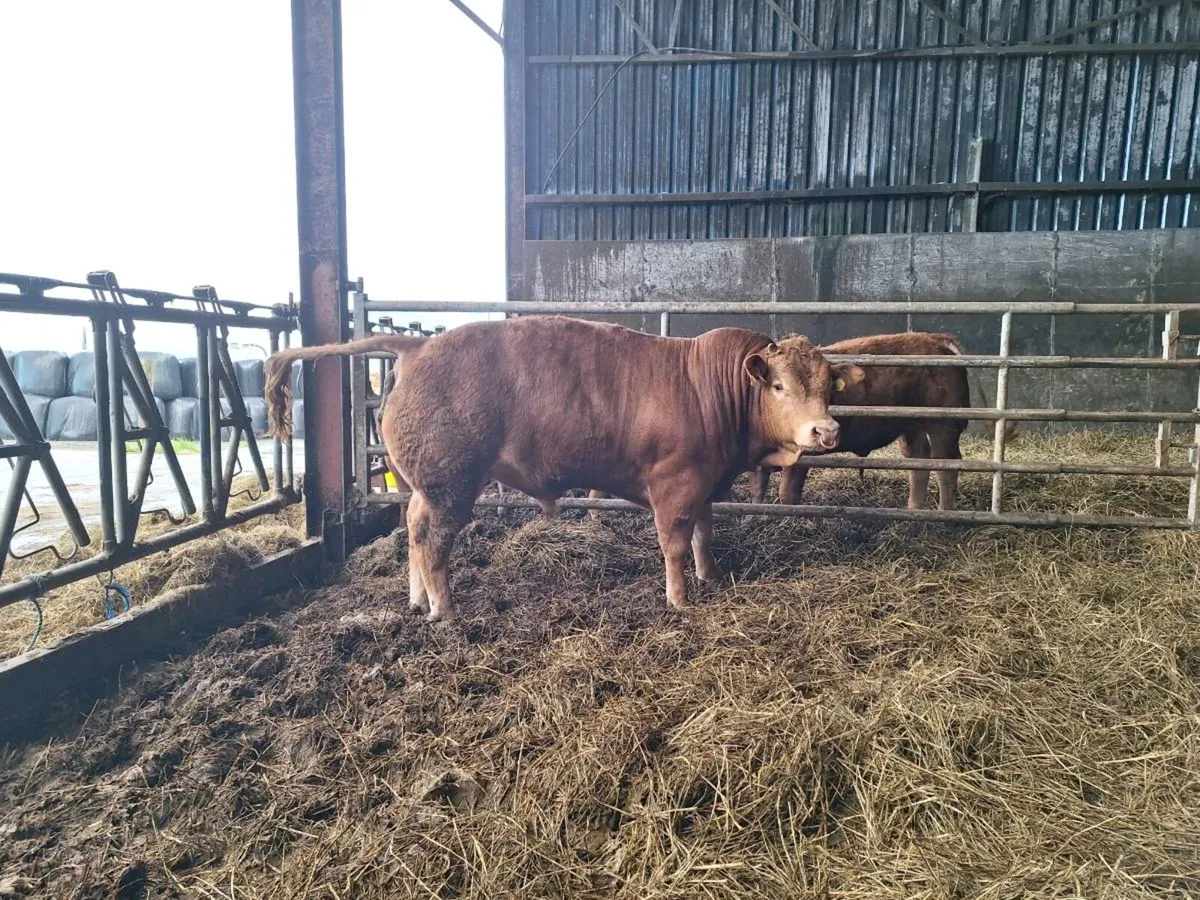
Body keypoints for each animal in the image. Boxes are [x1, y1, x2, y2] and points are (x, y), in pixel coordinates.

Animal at [265, 317, 863, 622]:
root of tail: (417, 346)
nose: (826, 432)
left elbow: (703, 535)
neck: (708, 387)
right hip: (451, 484)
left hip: (427, 485)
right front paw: (679, 598)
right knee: (433, 542)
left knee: (412, 528)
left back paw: (416, 600)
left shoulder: (706, 483)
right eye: (779, 385)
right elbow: (674, 542)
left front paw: (711, 577)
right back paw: (445, 611)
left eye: (829, 385)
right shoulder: (674, 482)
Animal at [749, 331, 1009, 511]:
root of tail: (936, 339)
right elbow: (758, 491)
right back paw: (914, 512)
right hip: (911, 427)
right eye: (778, 385)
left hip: (942, 426)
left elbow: (787, 494)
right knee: (919, 463)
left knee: (946, 468)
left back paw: (945, 515)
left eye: (826, 387)